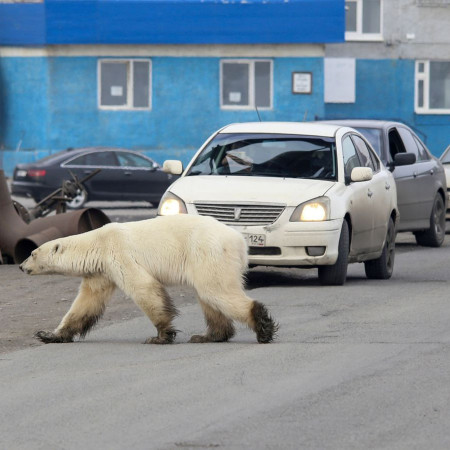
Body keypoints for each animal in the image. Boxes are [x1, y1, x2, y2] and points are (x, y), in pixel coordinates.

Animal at [20, 214, 278, 344]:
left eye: (32, 253)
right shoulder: (100, 271)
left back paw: (262, 327)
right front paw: (49, 335)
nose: (21, 266)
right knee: (209, 297)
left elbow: (144, 288)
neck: (97, 243)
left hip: (207, 251)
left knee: (216, 290)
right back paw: (208, 336)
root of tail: (239, 240)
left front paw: (161, 336)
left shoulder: (118, 253)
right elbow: (86, 303)